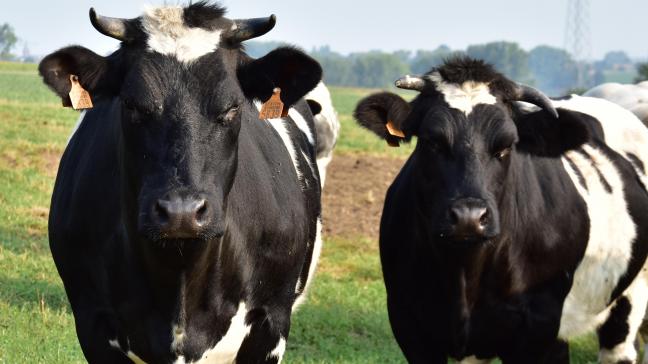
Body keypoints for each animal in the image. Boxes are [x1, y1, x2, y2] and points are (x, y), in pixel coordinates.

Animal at [352, 55, 648, 362]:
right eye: (431, 141)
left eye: (506, 146)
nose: (468, 217)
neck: (464, 274)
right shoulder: (409, 325)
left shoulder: (540, 333)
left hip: (632, 294)